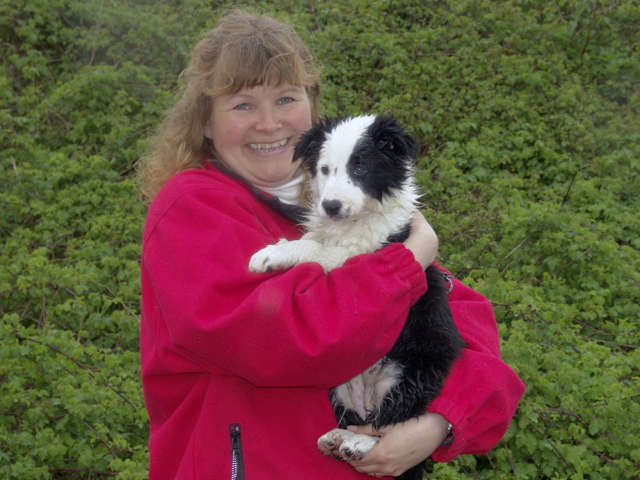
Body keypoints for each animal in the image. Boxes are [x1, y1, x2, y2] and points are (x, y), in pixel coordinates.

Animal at [249, 115, 463, 480]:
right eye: (324, 169)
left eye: (360, 168)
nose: (331, 206)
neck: (355, 221)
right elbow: (314, 240)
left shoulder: (359, 255)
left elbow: (314, 249)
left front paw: (270, 256)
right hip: (338, 387)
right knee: (358, 420)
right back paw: (338, 437)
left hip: (412, 373)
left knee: (391, 421)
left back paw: (361, 443)